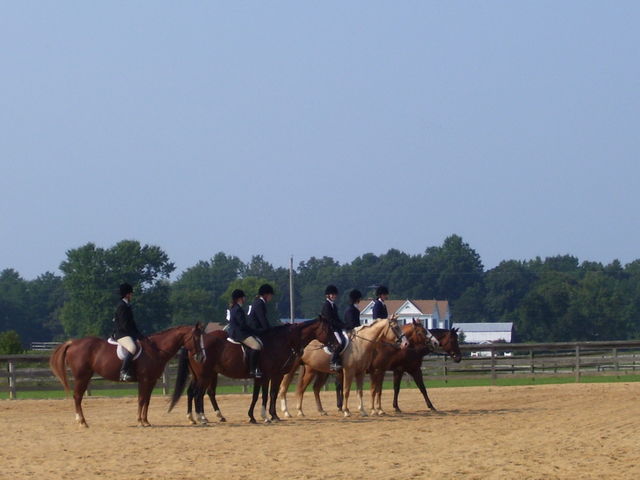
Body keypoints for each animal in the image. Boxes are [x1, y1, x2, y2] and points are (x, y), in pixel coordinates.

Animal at [50, 324, 202, 430]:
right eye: (195, 338)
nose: (200, 357)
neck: (156, 349)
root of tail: (73, 343)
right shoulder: (144, 380)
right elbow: (141, 400)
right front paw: (140, 421)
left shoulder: (151, 381)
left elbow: (147, 401)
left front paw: (146, 421)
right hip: (82, 376)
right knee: (77, 397)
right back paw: (82, 422)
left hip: (85, 377)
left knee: (78, 396)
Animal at [170, 318, 336, 424]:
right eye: (328, 329)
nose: (335, 345)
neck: (279, 341)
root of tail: (192, 345)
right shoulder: (270, 375)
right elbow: (266, 395)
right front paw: (266, 416)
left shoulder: (266, 376)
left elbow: (261, 395)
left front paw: (261, 416)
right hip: (205, 375)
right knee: (199, 394)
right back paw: (202, 418)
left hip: (200, 375)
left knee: (195, 392)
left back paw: (195, 417)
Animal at [278, 316, 408, 418]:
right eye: (395, 327)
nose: (406, 343)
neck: (361, 344)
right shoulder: (350, 371)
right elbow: (346, 391)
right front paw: (346, 411)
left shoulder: (360, 372)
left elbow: (360, 391)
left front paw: (362, 411)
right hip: (296, 370)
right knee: (288, 388)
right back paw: (290, 412)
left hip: (318, 371)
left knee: (311, 388)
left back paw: (316, 411)